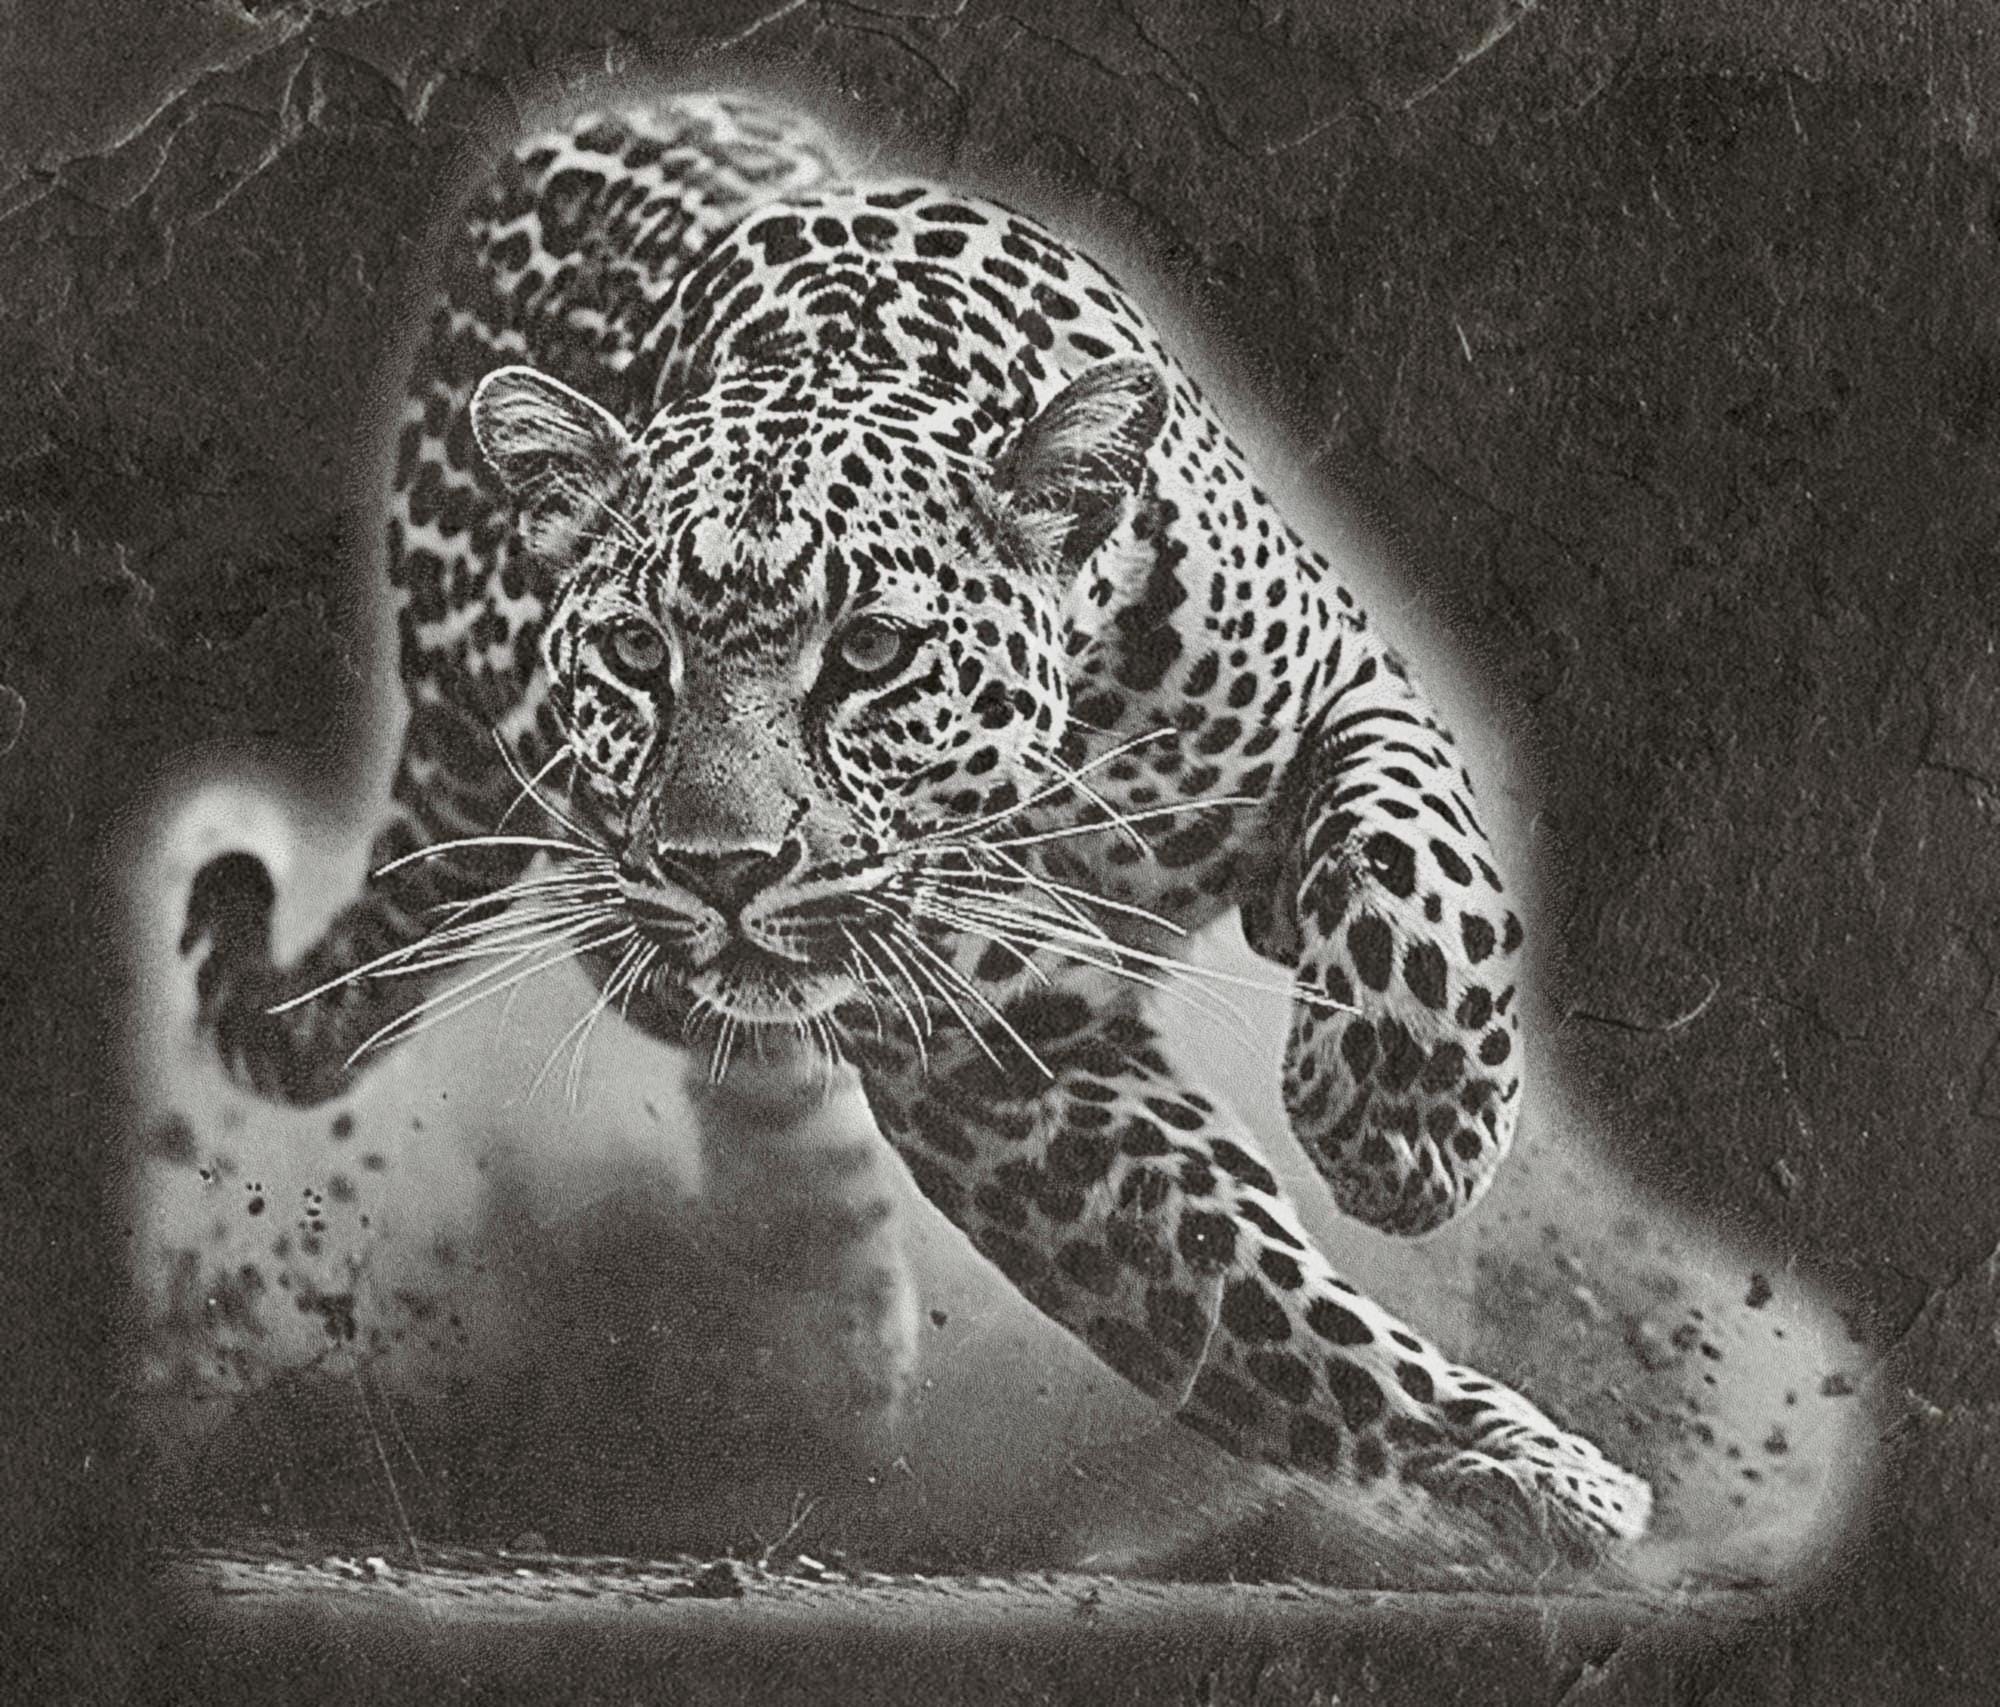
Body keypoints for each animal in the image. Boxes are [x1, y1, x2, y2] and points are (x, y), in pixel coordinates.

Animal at [178, 88, 1652, 1564]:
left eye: (872, 650)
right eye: (637, 652)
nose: (721, 870)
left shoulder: (1343, 681)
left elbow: (1421, 871)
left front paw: (1409, 1125)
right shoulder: (994, 1061)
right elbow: (1251, 1309)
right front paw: (1508, 1464)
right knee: (719, 1030)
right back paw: (832, 1326)